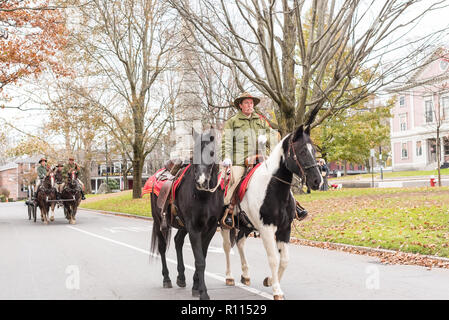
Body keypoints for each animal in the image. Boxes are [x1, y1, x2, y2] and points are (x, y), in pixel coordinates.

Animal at [150, 129, 224, 302]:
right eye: (193, 153)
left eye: (211, 153)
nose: (201, 181)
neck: (204, 195)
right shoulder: (194, 228)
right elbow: (200, 261)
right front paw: (203, 292)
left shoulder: (210, 229)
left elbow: (203, 256)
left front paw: (196, 287)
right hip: (159, 222)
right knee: (162, 247)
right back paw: (167, 279)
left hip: (182, 225)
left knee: (178, 241)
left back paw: (181, 277)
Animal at [220, 124, 322, 298]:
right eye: (302, 151)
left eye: (314, 150)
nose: (317, 181)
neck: (274, 188)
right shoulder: (267, 229)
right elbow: (273, 258)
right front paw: (276, 290)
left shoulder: (285, 229)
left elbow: (285, 259)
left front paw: (269, 280)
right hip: (225, 225)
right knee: (227, 247)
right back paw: (229, 277)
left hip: (246, 225)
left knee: (240, 243)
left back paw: (245, 275)